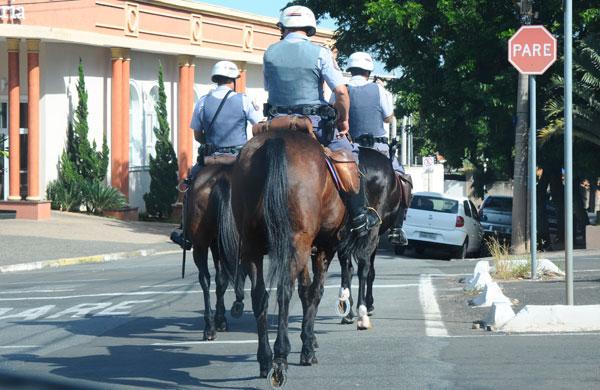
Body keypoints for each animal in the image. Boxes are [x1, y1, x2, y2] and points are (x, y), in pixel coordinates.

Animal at [221, 126, 364, 386]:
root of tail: (277, 140)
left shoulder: (306, 248)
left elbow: (305, 291)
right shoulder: (324, 247)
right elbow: (315, 292)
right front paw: (307, 348)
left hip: (253, 247)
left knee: (260, 296)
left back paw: (265, 358)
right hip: (297, 245)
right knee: (283, 292)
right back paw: (280, 359)